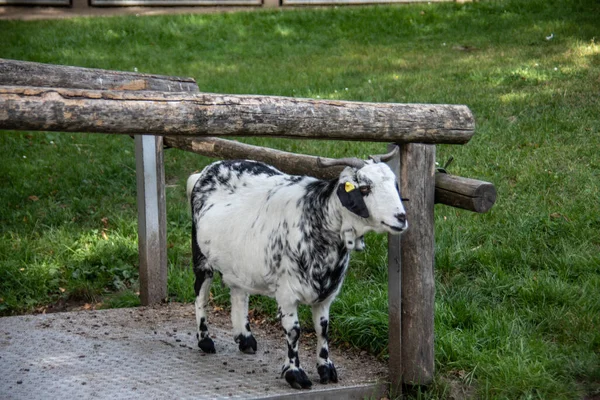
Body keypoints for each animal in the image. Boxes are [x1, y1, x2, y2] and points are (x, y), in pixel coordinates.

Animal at [186, 148, 408, 390]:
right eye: (365, 188)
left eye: (395, 184)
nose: (401, 218)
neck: (318, 218)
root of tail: (205, 172)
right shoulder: (286, 292)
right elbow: (294, 331)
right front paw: (295, 374)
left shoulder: (326, 294)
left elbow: (323, 328)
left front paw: (326, 369)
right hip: (201, 256)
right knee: (200, 294)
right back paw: (205, 341)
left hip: (238, 260)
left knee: (238, 293)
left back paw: (245, 339)